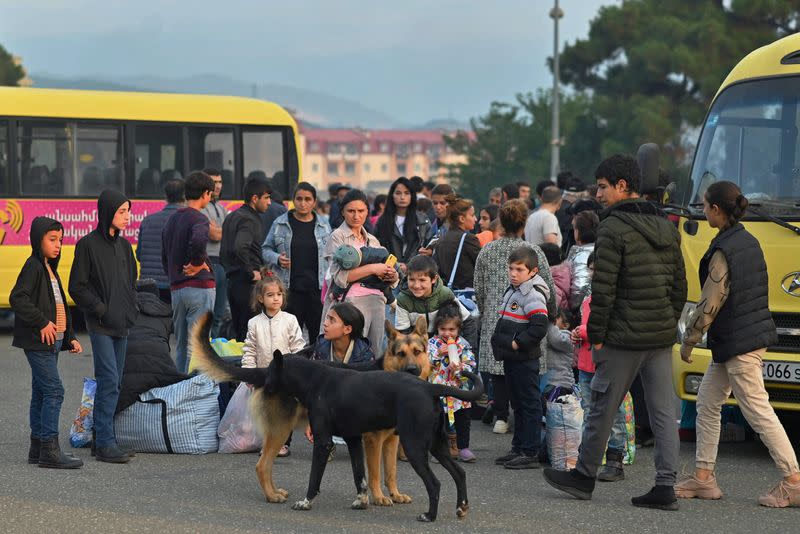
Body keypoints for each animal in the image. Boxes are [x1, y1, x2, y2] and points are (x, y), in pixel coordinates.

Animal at [192, 314, 482, 524]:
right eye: (401, 353)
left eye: (418, 351)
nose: (265, 384)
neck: (315, 378)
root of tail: (430, 387)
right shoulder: (362, 440)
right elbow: (366, 476)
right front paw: (368, 500)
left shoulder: (329, 441)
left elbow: (324, 478)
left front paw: (306, 502)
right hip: (432, 445)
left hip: (415, 446)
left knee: (437, 482)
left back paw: (431, 516)